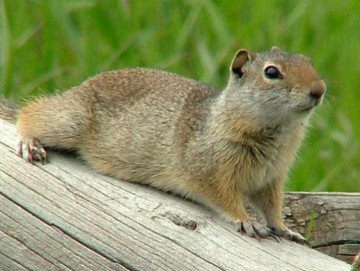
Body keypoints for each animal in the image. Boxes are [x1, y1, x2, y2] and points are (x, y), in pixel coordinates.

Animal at [0, 46, 326, 242]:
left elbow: (272, 207)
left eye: (309, 62)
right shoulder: (210, 168)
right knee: (30, 113)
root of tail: (79, 88)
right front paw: (246, 220)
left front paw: (285, 230)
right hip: (68, 121)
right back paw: (29, 141)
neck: (278, 133)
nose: (319, 90)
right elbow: (224, 197)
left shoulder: (271, 178)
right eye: (271, 72)